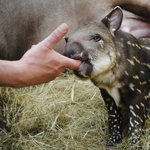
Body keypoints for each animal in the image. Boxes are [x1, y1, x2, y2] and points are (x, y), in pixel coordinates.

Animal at [63, 6, 150, 146]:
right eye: (67, 40)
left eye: (96, 37)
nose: (68, 51)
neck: (110, 81)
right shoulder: (106, 94)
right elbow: (113, 117)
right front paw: (112, 142)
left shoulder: (140, 91)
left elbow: (135, 121)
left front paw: (134, 145)